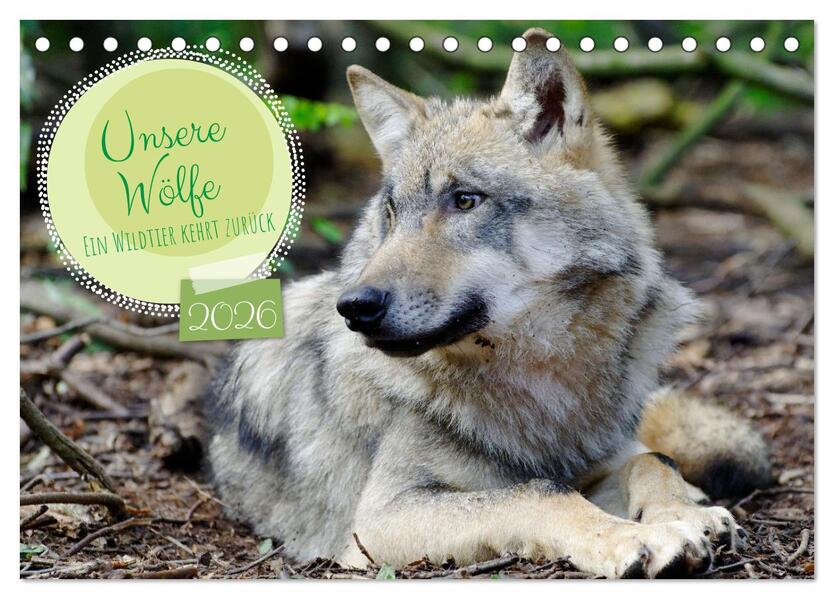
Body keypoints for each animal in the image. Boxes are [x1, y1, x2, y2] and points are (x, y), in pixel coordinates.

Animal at [205, 28, 772, 578]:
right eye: (392, 214)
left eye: (465, 200)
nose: (355, 306)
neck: (540, 383)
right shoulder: (379, 520)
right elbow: (540, 493)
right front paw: (635, 538)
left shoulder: (601, 456)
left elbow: (651, 460)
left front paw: (685, 515)